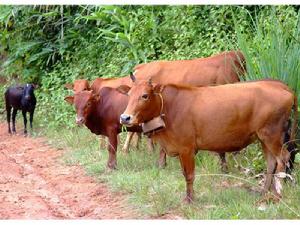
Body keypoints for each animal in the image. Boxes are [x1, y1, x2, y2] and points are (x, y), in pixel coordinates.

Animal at [118, 77, 298, 202]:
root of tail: (281, 86)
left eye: (145, 96)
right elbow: (185, 173)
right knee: (271, 162)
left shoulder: (187, 149)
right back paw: (264, 192)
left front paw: (190, 200)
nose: (125, 117)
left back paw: (277, 195)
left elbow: (189, 175)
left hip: (272, 134)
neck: (169, 108)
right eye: (129, 94)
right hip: (263, 137)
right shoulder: (181, 149)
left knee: (282, 158)